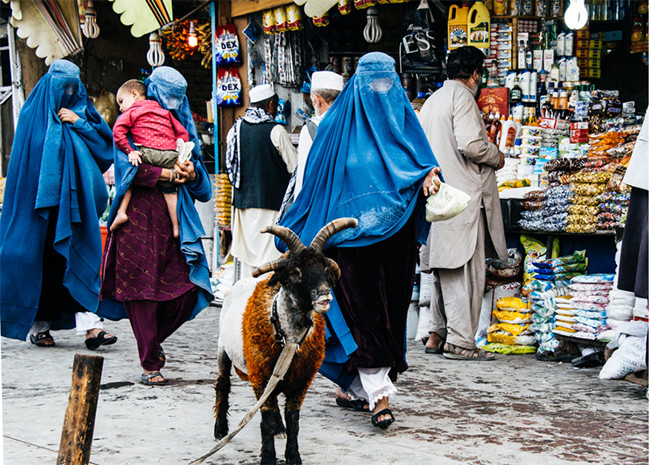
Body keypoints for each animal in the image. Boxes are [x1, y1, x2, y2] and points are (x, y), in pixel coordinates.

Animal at [211, 218, 354, 464]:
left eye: (325, 269)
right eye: (295, 272)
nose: (325, 295)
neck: (289, 338)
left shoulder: (301, 382)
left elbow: (293, 419)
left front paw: (293, 456)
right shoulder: (260, 375)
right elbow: (266, 417)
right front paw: (268, 457)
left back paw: (279, 428)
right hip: (223, 349)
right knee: (222, 385)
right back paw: (220, 429)